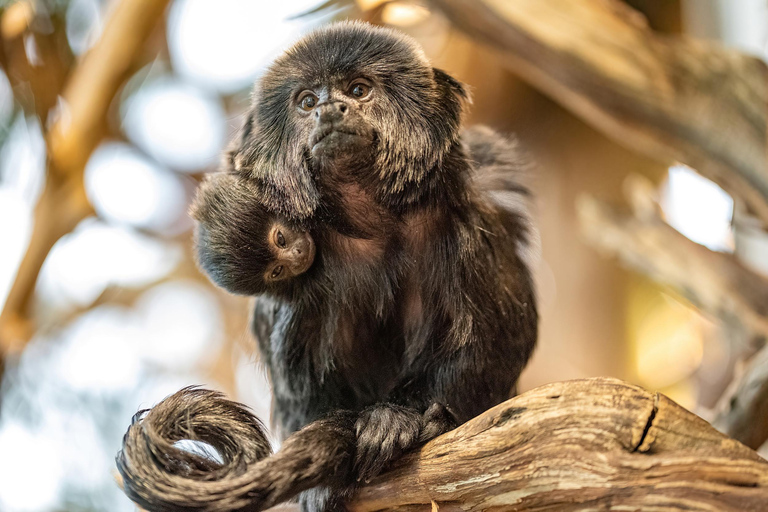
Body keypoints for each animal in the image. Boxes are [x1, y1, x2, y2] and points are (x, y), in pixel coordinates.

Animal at [121, 22, 540, 510]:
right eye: (306, 101)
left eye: (358, 90)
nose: (329, 110)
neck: (377, 226)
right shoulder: (295, 295)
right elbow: (302, 387)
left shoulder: (471, 226)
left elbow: (491, 347)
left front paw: (411, 418)